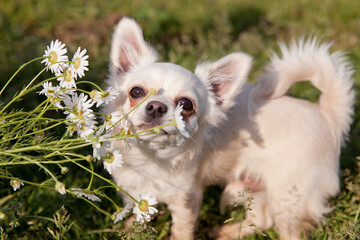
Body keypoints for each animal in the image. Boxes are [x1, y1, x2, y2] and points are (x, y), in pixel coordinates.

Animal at [103, 17, 354, 240]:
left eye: (186, 104)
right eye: (136, 92)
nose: (156, 107)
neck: (150, 157)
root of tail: (327, 116)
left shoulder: (186, 200)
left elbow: (181, 231)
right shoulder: (136, 190)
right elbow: (141, 213)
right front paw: (129, 230)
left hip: (289, 199)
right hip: (250, 186)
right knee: (261, 219)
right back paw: (225, 233)